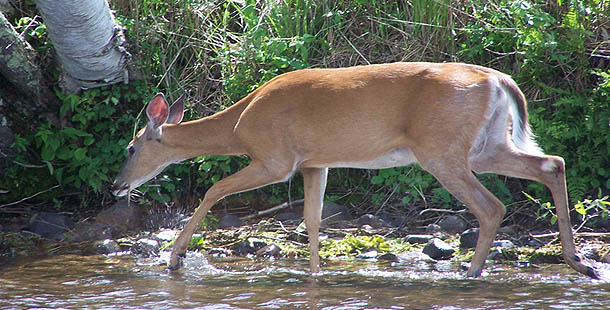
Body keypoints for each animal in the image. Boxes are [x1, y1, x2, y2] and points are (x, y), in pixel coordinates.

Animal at [113, 61, 600, 278]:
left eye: (132, 146)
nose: (117, 186)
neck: (239, 124)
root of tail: (500, 80)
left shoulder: (275, 158)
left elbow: (214, 188)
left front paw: (175, 256)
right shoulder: (315, 162)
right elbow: (312, 220)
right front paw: (315, 276)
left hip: (441, 150)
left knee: (492, 206)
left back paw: (470, 273)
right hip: (488, 145)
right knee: (551, 163)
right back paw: (578, 261)